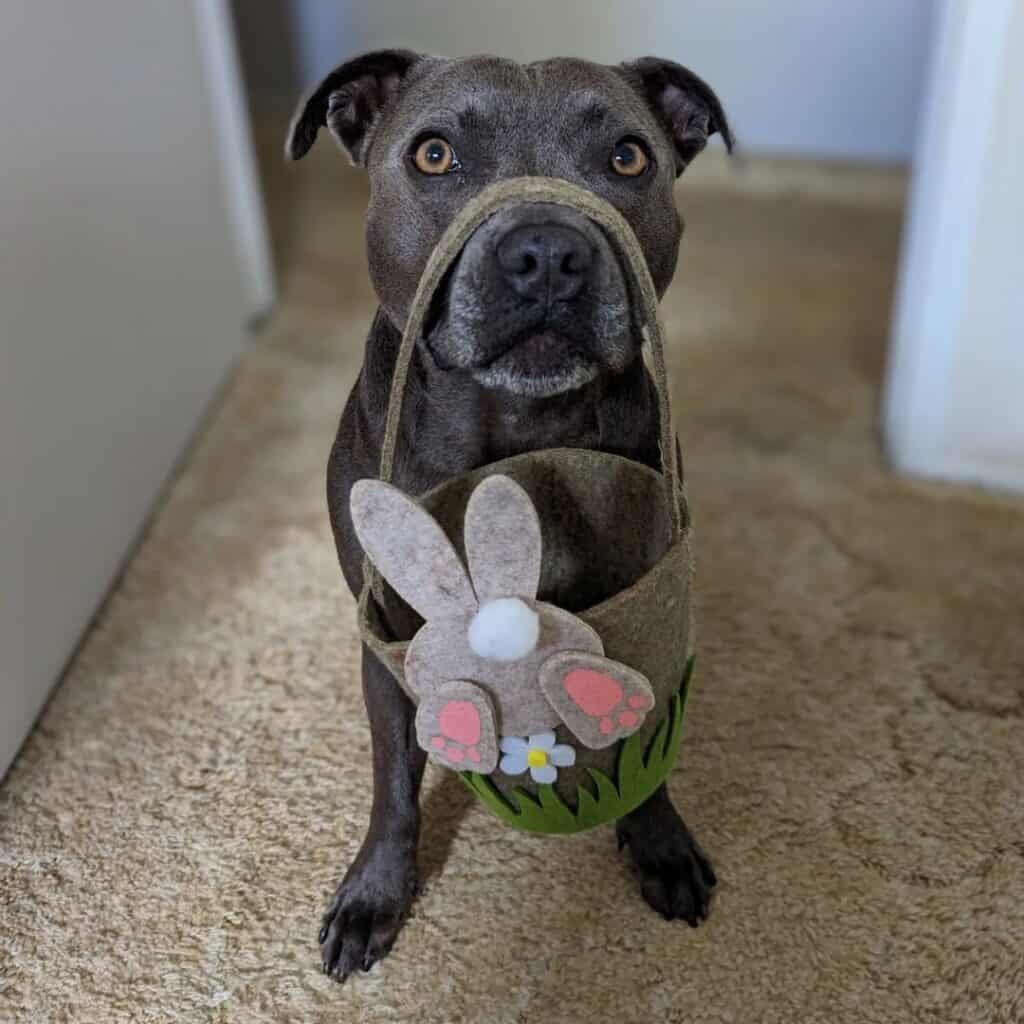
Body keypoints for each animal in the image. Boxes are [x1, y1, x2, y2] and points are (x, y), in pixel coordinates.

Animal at [284, 49, 733, 983]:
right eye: (433, 155)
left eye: (628, 158)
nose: (549, 252)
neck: (519, 427)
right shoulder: (388, 634)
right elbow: (392, 780)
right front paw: (375, 894)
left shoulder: (640, 600)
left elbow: (646, 734)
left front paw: (660, 843)